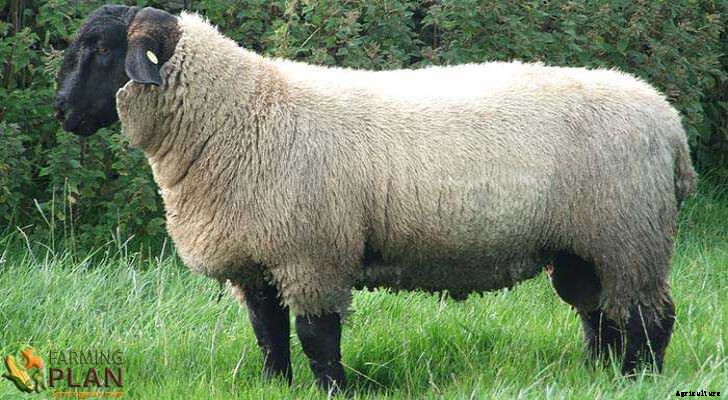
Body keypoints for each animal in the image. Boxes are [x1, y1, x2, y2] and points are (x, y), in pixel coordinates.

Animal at [55, 5, 697, 391]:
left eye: (102, 50)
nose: (61, 112)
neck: (239, 114)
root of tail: (668, 122)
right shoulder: (257, 261)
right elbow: (268, 333)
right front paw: (276, 386)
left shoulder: (312, 255)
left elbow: (317, 336)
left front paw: (331, 390)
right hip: (584, 246)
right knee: (600, 314)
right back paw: (597, 375)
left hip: (630, 235)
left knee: (649, 317)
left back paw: (641, 380)